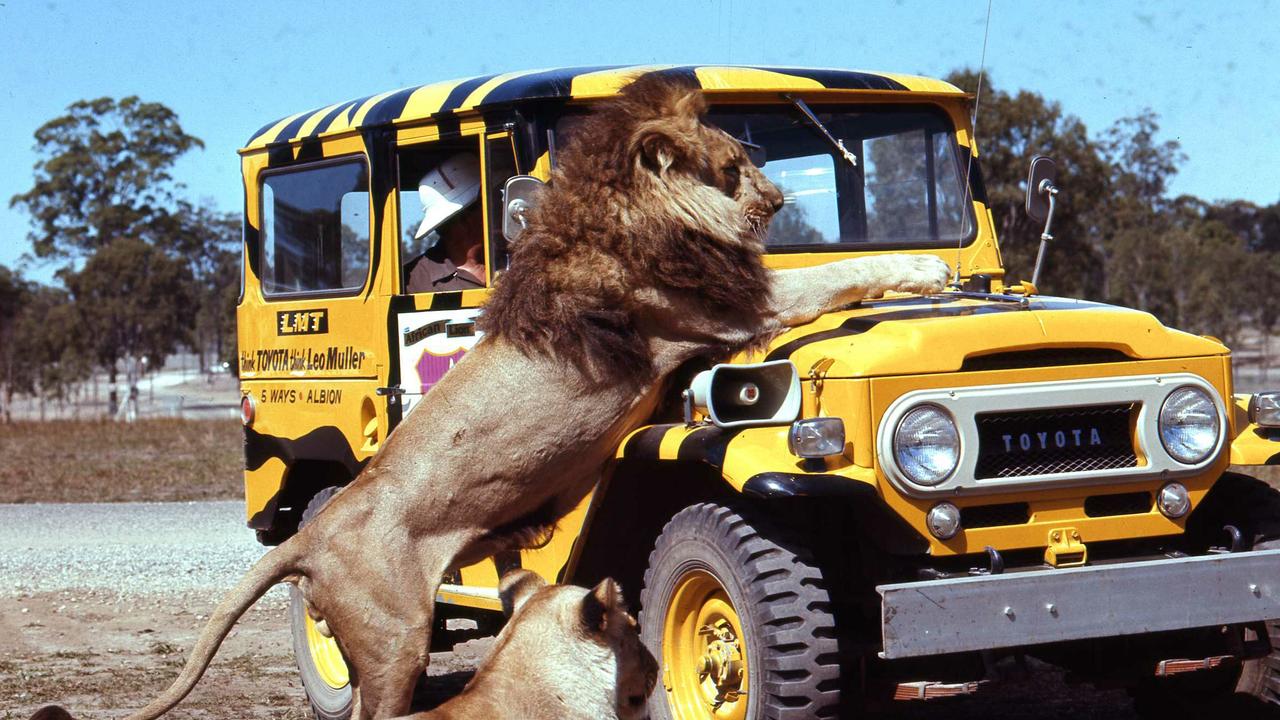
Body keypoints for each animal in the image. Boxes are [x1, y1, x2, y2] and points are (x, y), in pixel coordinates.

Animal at [30, 73, 952, 717]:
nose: (778, 197)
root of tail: (313, 536)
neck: (631, 213)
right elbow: (839, 275)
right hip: (394, 640)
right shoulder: (726, 317)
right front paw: (926, 269)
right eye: (734, 167)